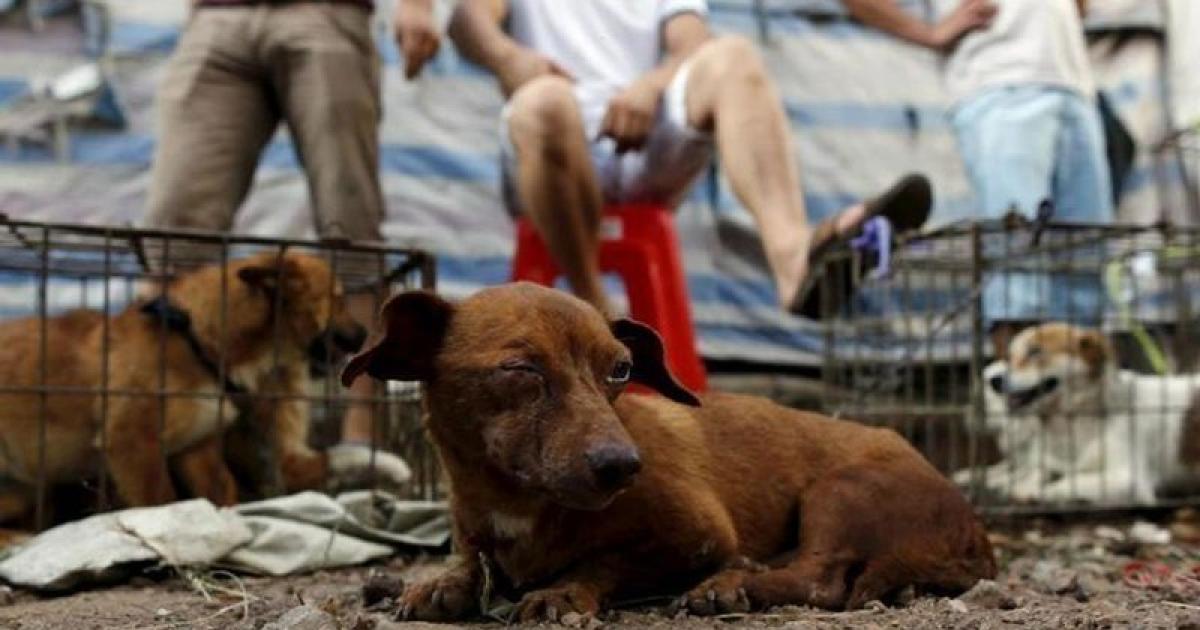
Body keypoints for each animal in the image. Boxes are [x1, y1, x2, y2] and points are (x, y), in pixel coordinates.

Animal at [0, 248, 408, 523]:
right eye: (337, 298)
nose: (366, 335)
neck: (197, 345)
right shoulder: (133, 443)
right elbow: (160, 500)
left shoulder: (196, 448)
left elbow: (220, 492)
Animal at [340, 283, 993, 619]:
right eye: (520, 369)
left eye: (621, 369)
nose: (623, 466)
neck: (516, 503)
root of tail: (976, 534)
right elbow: (468, 556)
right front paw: (443, 581)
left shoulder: (697, 535)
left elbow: (606, 562)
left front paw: (563, 591)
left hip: (839, 488)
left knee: (821, 577)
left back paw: (735, 585)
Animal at [960, 321, 1200, 504]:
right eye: (1010, 355)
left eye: (1035, 351)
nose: (996, 381)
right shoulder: (1049, 460)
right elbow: (1036, 470)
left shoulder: (1131, 480)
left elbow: (1068, 483)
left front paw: (1034, 491)